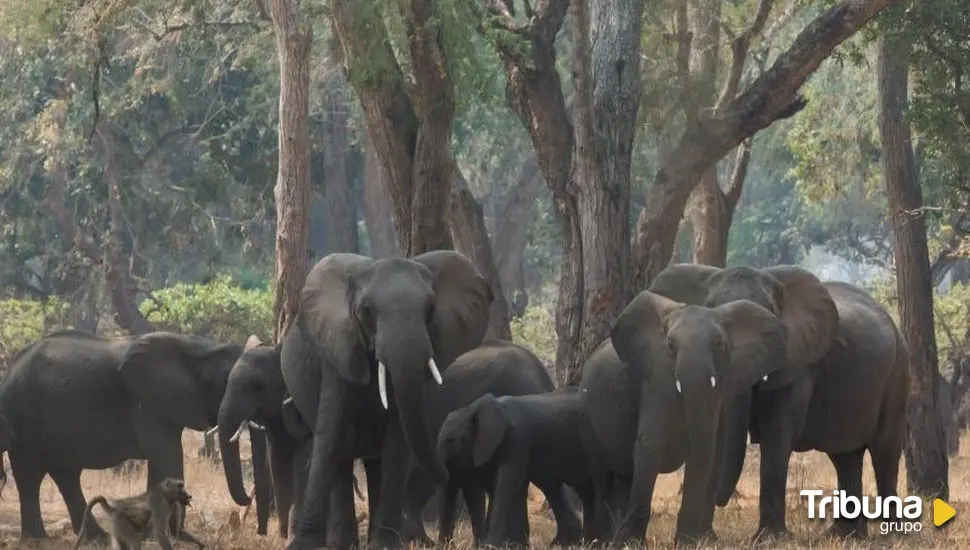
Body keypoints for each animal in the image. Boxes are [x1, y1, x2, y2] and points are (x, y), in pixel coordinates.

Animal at [0, 330, 242, 540]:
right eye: (225, 382)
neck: (200, 347)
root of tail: (10, 369)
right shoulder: (148, 404)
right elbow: (167, 455)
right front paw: (173, 536)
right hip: (22, 411)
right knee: (30, 473)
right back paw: (38, 539)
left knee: (65, 474)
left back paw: (97, 539)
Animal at [280, 251, 492, 550]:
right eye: (367, 310)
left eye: (430, 307)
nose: (446, 474)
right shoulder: (337, 352)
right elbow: (330, 435)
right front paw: (304, 546)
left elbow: (397, 441)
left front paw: (386, 544)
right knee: (342, 458)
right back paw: (345, 544)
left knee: (376, 463)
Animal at [436, 390, 588, 548]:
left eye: (452, 440)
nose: (447, 545)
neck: (472, 409)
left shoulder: (516, 440)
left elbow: (506, 484)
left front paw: (491, 546)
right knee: (550, 483)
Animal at [584, 294, 788, 548]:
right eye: (670, 346)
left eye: (719, 345)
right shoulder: (655, 378)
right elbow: (651, 446)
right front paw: (630, 543)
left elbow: (705, 451)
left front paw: (687, 542)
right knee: (602, 475)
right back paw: (603, 540)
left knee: (623, 476)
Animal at [648, 266, 904, 540]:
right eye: (710, 309)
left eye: (769, 321)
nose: (720, 502)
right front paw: (704, 539)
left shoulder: (798, 363)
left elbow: (777, 433)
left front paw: (769, 539)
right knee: (845, 456)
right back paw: (842, 536)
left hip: (898, 371)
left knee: (884, 452)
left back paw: (891, 535)